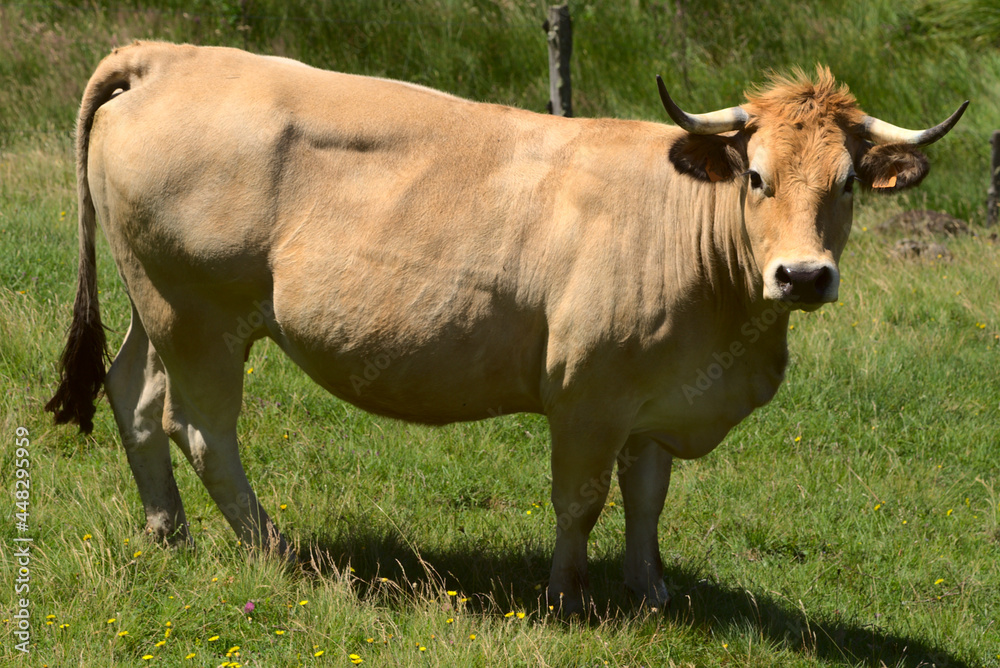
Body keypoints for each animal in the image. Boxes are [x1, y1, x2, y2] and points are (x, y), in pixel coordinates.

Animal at [45, 43, 960, 616]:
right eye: (758, 177)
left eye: (847, 184)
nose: (803, 275)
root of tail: (170, 55)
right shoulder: (588, 396)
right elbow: (581, 501)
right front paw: (566, 597)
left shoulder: (657, 395)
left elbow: (648, 496)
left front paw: (650, 591)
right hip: (198, 313)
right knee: (202, 428)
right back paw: (282, 553)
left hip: (158, 305)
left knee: (133, 395)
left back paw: (167, 532)